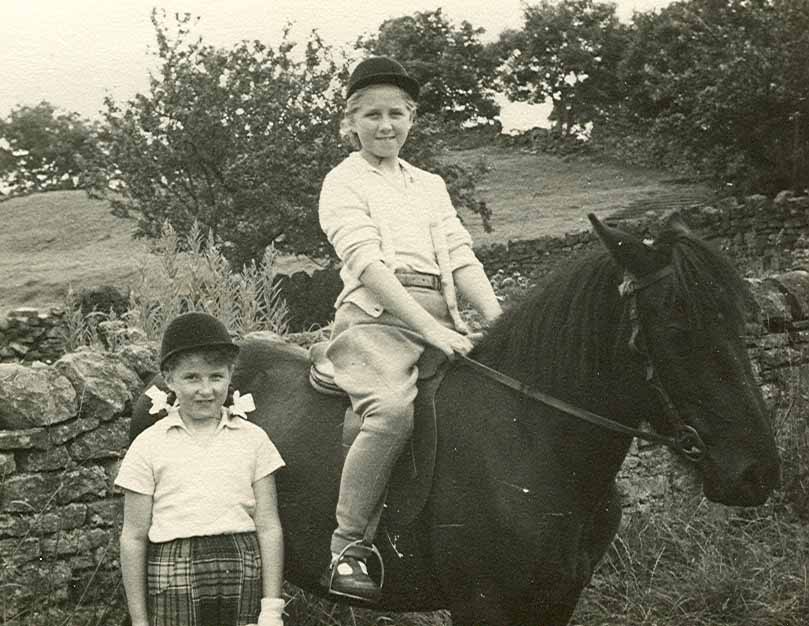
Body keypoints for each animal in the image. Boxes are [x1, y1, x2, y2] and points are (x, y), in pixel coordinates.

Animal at [129, 212, 780, 620]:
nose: (756, 473)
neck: (530, 441)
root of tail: (159, 386)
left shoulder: (558, 597)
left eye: (739, 317)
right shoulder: (484, 603)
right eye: (677, 324)